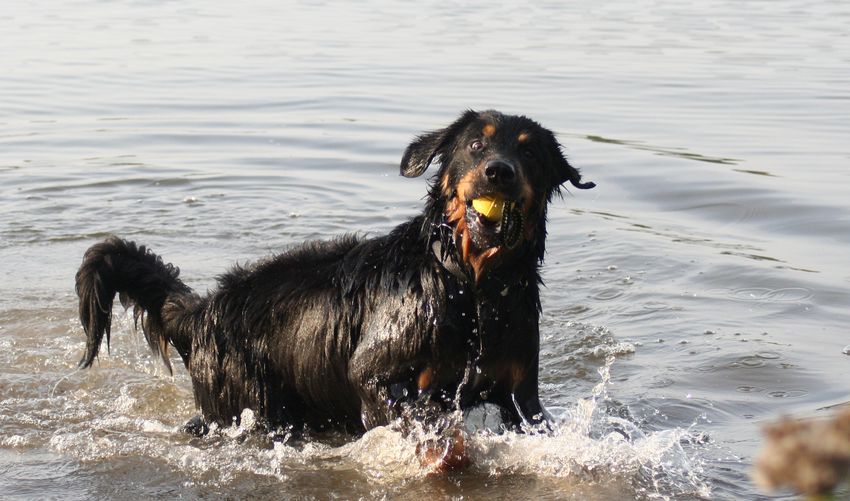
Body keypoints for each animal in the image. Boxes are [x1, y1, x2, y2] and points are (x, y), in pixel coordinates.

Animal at [75, 110, 595, 470]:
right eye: (473, 144)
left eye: (530, 154)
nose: (499, 171)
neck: (473, 286)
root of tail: (205, 309)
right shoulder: (375, 374)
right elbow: (425, 421)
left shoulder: (521, 396)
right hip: (250, 404)